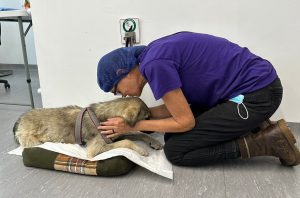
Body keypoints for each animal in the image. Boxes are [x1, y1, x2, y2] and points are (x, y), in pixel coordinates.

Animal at [12, 96, 163, 159]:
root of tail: (19, 119)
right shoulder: (95, 149)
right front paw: (141, 150)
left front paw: (154, 142)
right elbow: (127, 141)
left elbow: (139, 134)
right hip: (33, 141)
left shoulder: (116, 135)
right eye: (146, 118)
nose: (154, 129)